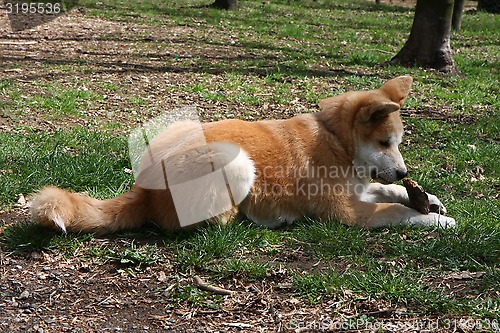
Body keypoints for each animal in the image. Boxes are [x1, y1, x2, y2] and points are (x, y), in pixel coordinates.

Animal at [29, 75, 456, 233]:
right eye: (385, 143)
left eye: (397, 143)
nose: (402, 171)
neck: (336, 139)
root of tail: (145, 191)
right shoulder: (347, 212)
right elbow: (396, 210)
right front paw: (434, 219)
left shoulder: (361, 188)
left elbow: (391, 193)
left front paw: (430, 199)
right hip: (234, 161)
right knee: (211, 222)